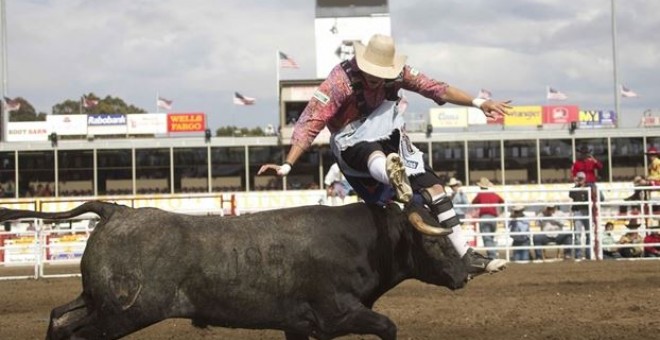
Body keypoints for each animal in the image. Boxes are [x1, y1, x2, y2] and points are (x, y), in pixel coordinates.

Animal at [0, 201, 470, 338]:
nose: (469, 270)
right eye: (433, 240)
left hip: (95, 301)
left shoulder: (299, 326)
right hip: (122, 313)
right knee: (77, 331)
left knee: (59, 318)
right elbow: (387, 325)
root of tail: (117, 210)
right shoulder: (339, 313)